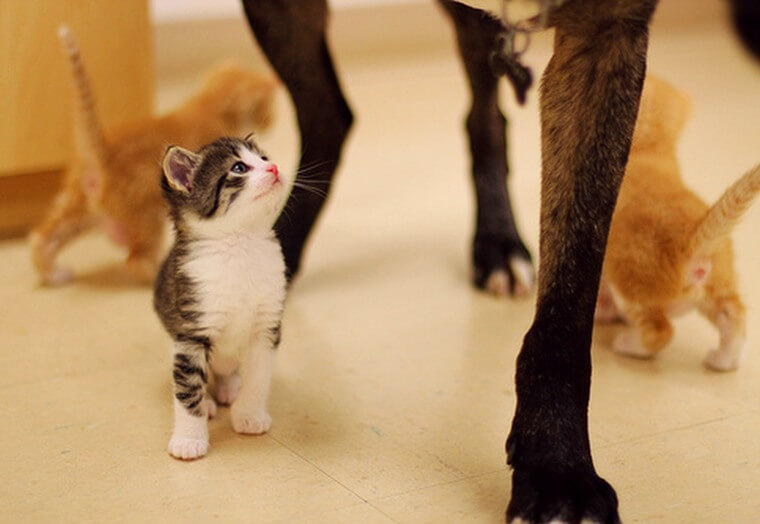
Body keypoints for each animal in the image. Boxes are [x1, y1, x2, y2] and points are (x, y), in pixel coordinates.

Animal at [31, 25, 280, 284]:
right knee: (136, 262)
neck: (208, 105)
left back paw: (54, 273)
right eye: (267, 107)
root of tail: (102, 154)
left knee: (41, 237)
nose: (272, 121)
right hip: (146, 217)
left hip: (77, 208)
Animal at [152, 135, 288, 458]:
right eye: (239, 168)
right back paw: (210, 402)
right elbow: (187, 388)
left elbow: (259, 377)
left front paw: (249, 415)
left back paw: (228, 388)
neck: (240, 243)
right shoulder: (190, 331)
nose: (275, 167)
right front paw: (189, 439)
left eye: (264, 158)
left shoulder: (267, 325)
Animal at [596, 74, 756, 372]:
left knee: (660, 331)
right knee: (734, 316)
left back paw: (628, 343)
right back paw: (723, 360)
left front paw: (602, 312)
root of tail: (692, 238)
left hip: (630, 283)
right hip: (717, 291)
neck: (650, 150)